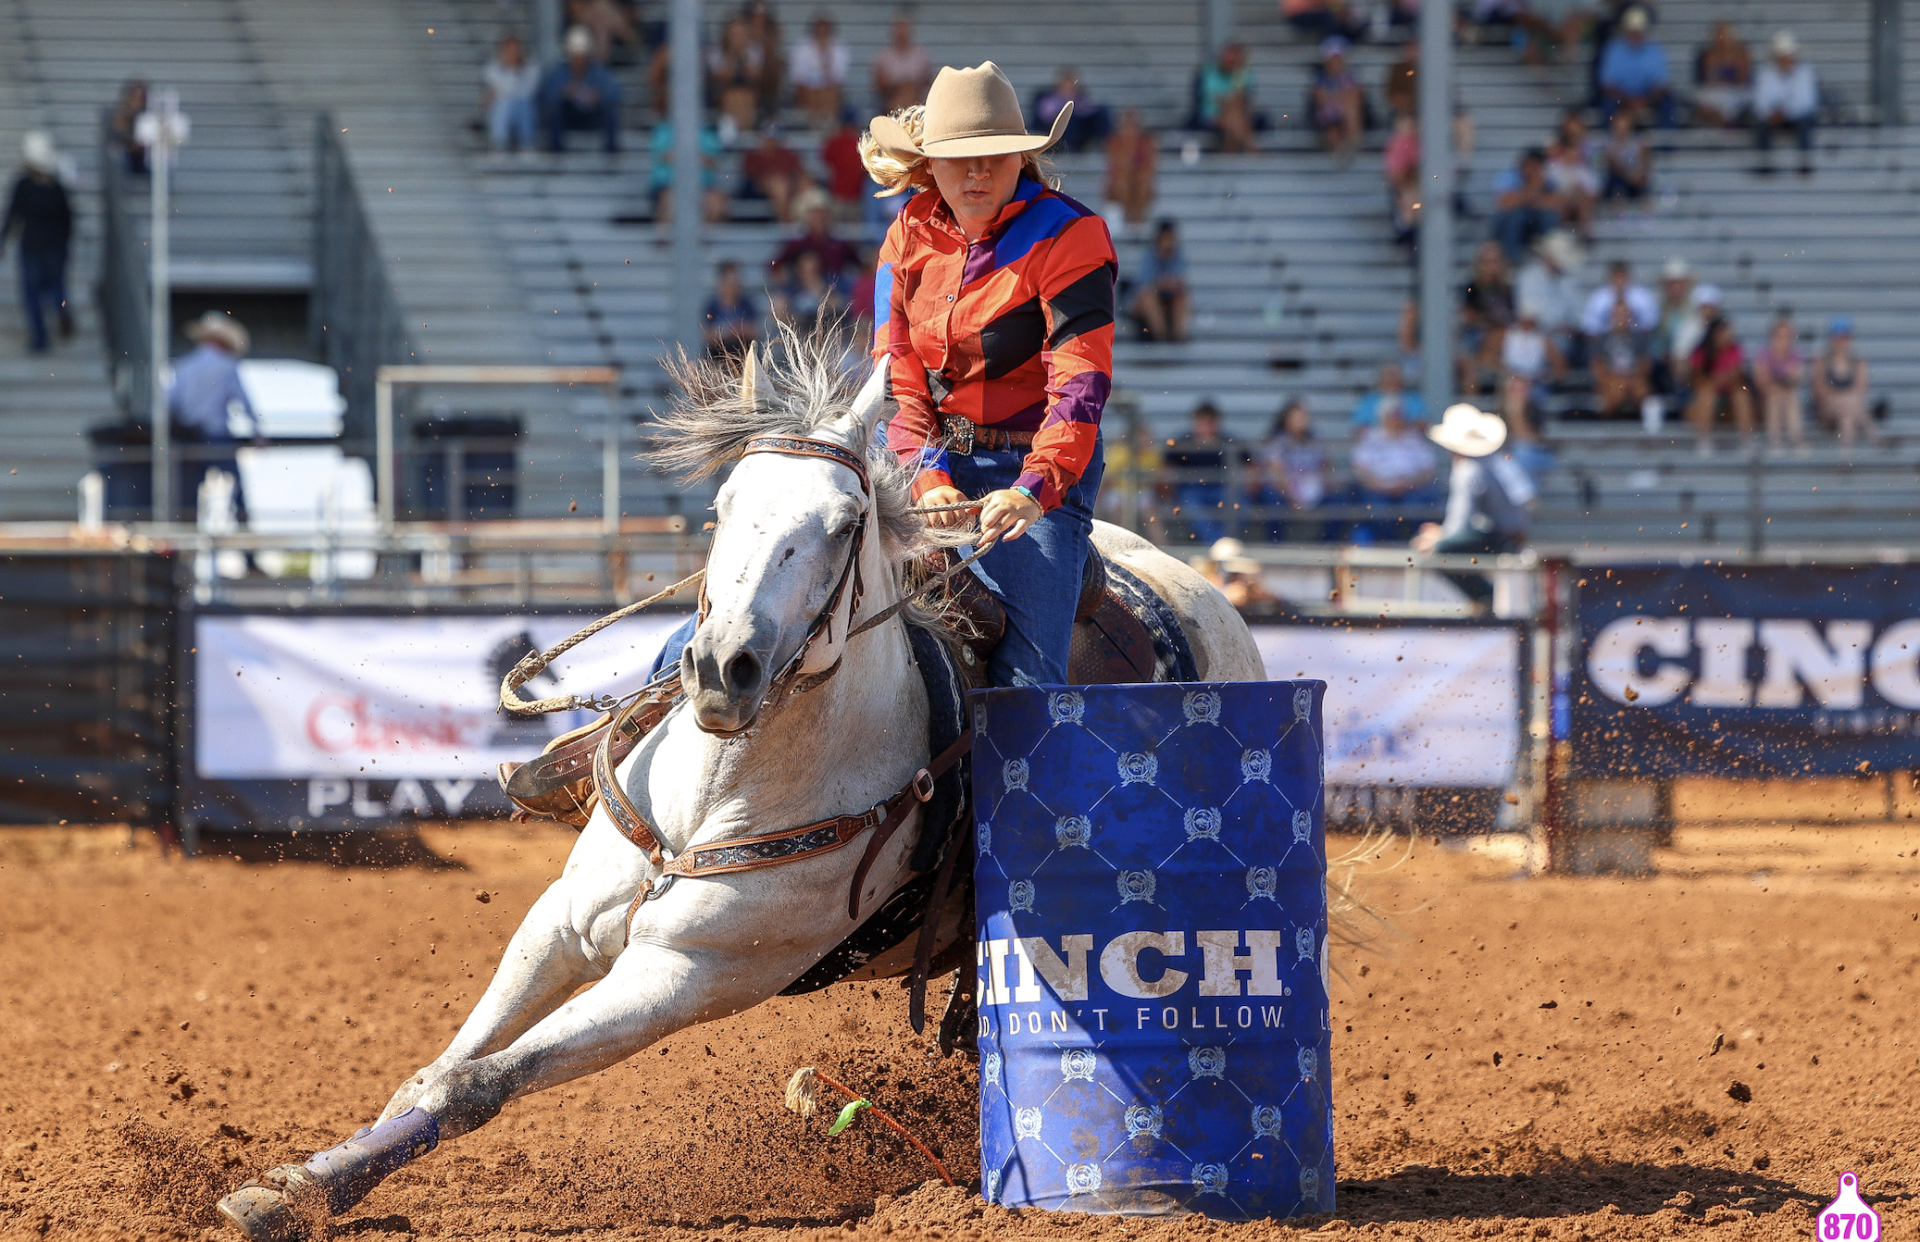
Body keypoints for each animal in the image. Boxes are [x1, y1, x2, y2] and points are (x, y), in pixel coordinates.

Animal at [217, 341, 1267, 1242]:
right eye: (723, 508)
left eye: (843, 526)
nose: (725, 668)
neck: (722, 791)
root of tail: (1196, 593)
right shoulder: (562, 920)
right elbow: (440, 1067)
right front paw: (297, 1185)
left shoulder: (683, 976)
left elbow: (476, 1085)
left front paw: (298, 1195)